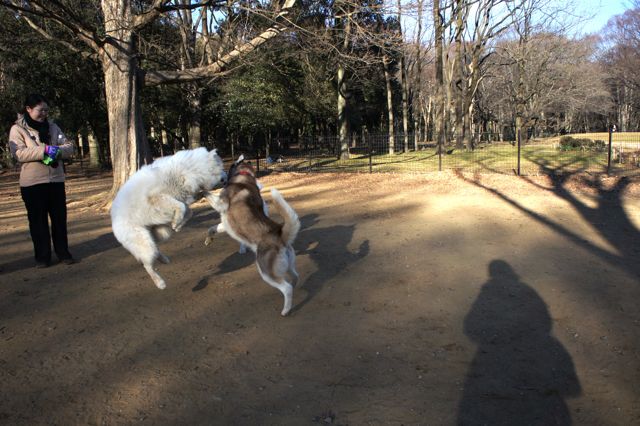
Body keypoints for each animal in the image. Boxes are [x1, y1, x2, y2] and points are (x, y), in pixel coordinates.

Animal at [111, 147, 226, 290]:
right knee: (147, 265)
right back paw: (160, 283)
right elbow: (181, 207)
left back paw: (164, 259)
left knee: (156, 251)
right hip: (145, 244)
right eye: (223, 168)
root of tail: (113, 220)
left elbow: (188, 211)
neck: (189, 170)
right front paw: (177, 223)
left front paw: (178, 225)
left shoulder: (184, 200)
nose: (227, 177)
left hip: (159, 235)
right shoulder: (158, 198)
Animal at [205, 160, 300, 316]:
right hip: (289, 265)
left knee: (287, 288)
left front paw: (199, 189)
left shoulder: (221, 204)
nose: (222, 178)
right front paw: (208, 239)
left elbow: (207, 194)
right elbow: (211, 229)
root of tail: (280, 235)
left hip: (265, 272)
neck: (244, 178)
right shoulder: (226, 224)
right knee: (295, 276)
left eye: (230, 166)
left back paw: (286, 310)